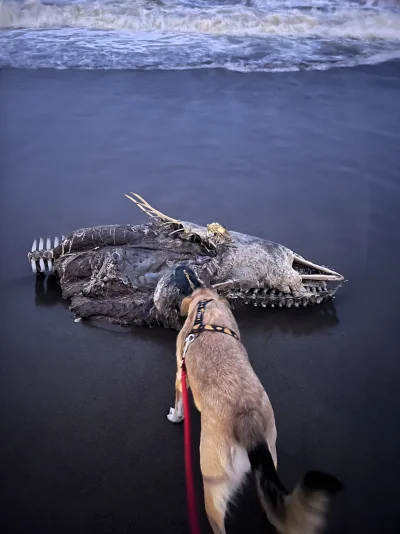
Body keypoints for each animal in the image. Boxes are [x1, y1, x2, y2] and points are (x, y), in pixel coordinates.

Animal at [167, 288, 342, 534]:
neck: (206, 308)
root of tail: (247, 418)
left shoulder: (180, 375)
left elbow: (178, 402)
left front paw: (175, 416)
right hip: (270, 455)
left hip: (212, 483)